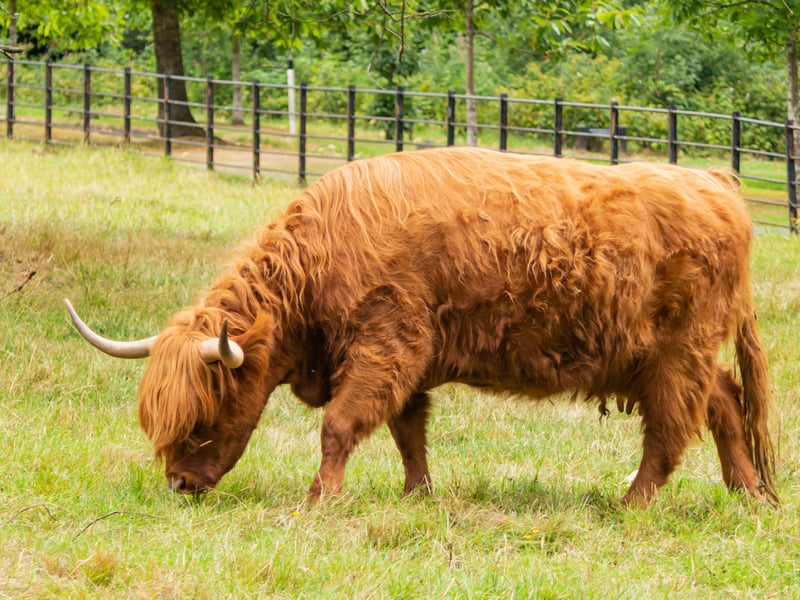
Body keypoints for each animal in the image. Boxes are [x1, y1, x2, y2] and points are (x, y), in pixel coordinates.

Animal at [66, 147, 779, 507]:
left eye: (204, 418)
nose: (180, 485)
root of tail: (715, 181)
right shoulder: (406, 358)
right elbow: (409, 431)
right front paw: (418, 495)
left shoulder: (387, 342)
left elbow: (341, 426)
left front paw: (319, 500)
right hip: (662, 356)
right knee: (724, 400)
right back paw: (750, 495)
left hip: (677, 351)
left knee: (672, 429)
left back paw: (632, 504)